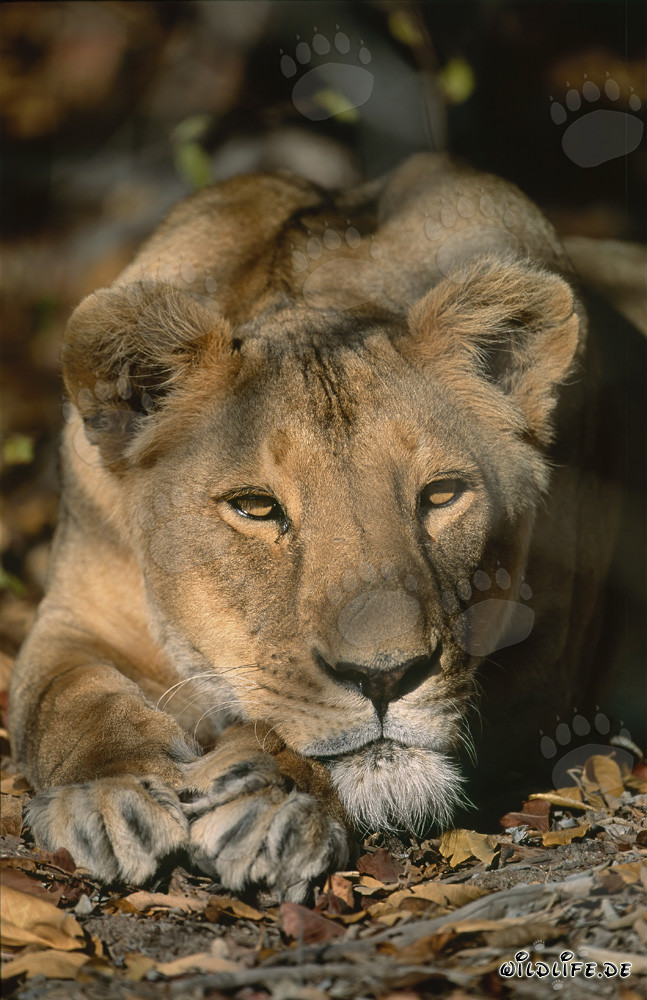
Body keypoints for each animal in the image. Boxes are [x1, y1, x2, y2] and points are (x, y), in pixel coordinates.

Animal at [8, 153, 639, 900]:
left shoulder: (552, 664)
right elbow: (67, 702)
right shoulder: (76, 616)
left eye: (441, 495)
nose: (385, 678)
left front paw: (271, 797)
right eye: (256, 508)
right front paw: (110, 798)